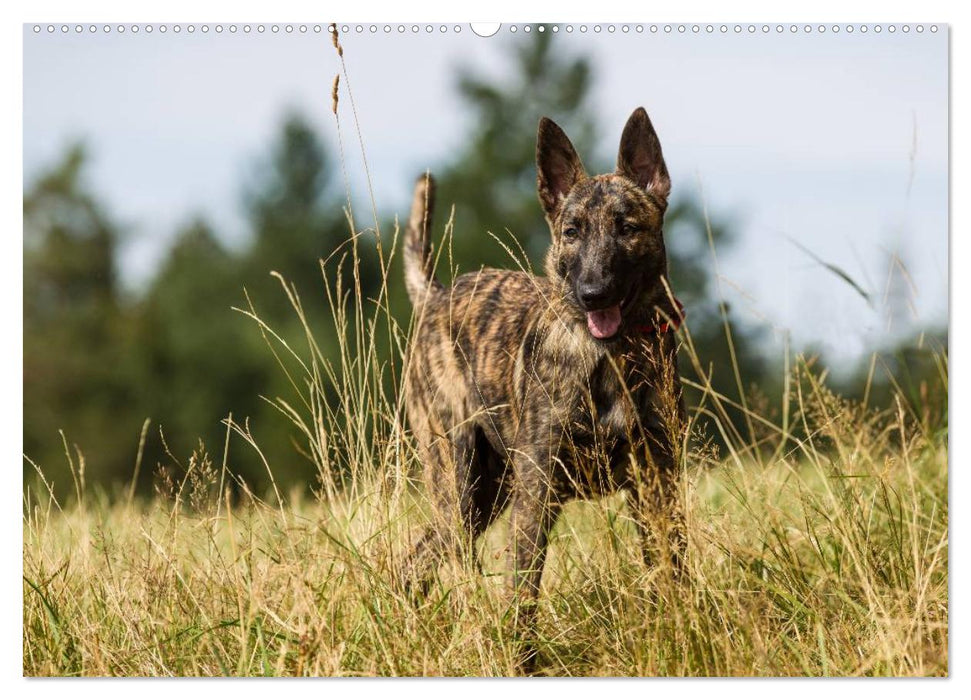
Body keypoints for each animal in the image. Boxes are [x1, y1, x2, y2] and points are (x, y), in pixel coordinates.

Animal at [398, 106, 688, 636]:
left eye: (626, 227)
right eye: (571, 231)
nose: (592, 293)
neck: (610, 357)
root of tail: (436, 295)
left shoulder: (657, 485)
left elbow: (671, 573)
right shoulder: (537, 492)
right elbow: (522, 596)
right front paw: (522, 653)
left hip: (485, 494)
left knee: (417, 558)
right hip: (459, 479)